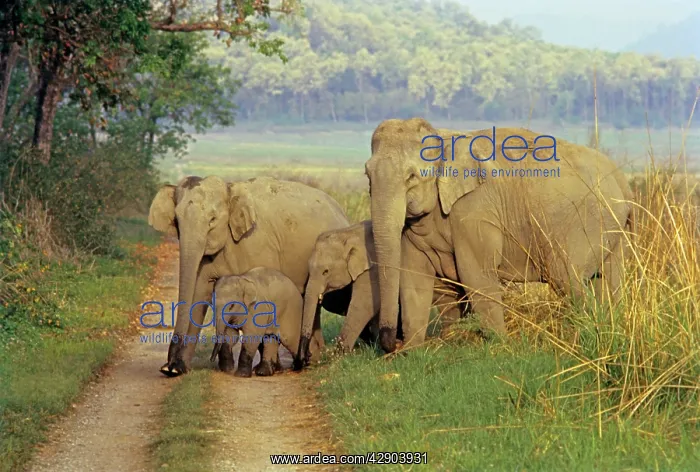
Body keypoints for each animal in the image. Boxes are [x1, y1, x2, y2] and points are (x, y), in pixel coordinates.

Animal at [148, 175, 350, 376]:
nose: (168, 367)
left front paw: (267, 369)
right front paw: (178, 369)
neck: (229, 188)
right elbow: (199, 293)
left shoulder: (257, 243)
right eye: (176, 220)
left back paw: (307, 362)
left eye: (212, 219)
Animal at [294, 219, 470, 369]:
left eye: (325, 271)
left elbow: (365, 304)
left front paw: (338, 355)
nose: (304, 359)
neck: (348, 234)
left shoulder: (373, 268)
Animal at [365, 117, 635, 353]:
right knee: (609, 280)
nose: (392, 342)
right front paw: (412, 352)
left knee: (566, 276)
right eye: (367, 175)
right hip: (611, 229)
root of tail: (621, 180)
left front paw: (499, 347)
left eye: (411, 176)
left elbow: (476, 273)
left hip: (585, 222)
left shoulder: (475, 209)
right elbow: (413, 277)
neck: (442, 136)